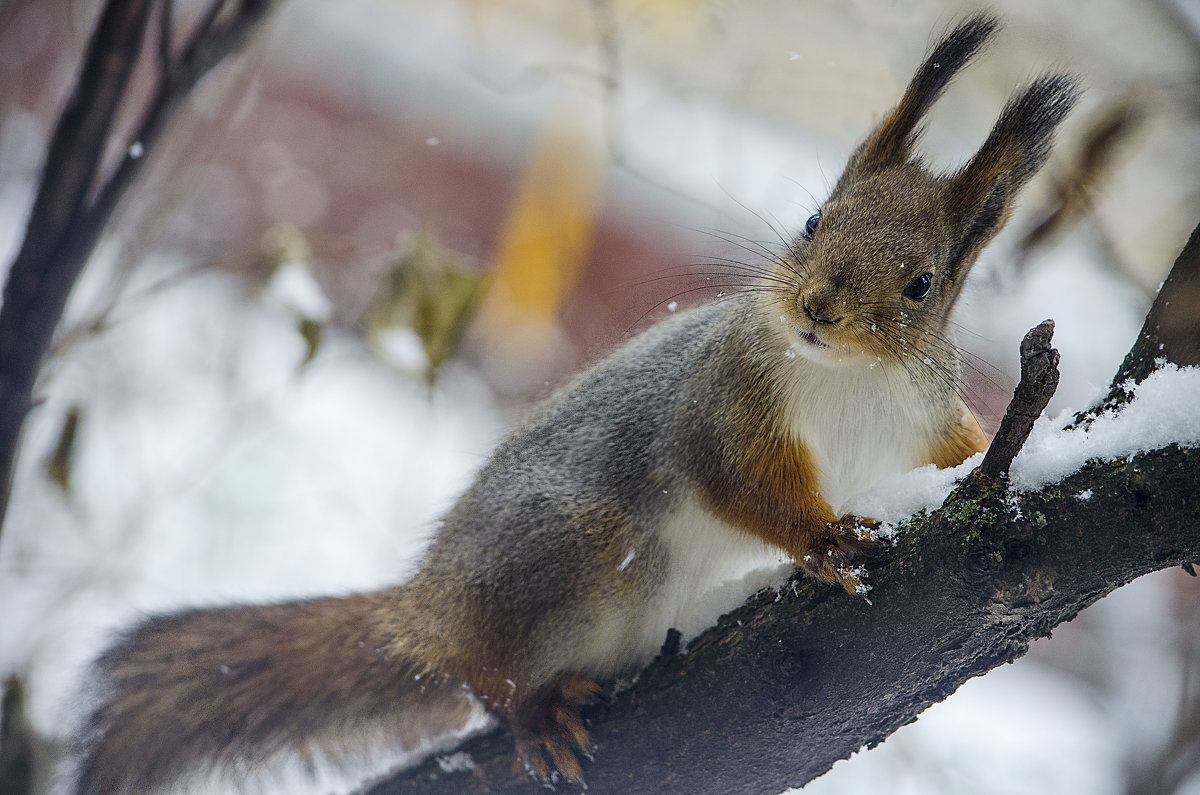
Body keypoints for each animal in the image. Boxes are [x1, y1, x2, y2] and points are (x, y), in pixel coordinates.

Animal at [68, 14, 1080, 795]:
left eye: (921, 284)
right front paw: (827, 540)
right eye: (812, 221)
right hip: (574, 549)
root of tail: (432, 602)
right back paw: (535, 710)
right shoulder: (727, 400)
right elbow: (740, 483)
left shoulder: (919, 421)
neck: (850, 377)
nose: (816, 308)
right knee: (484, 674)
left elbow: (958, 448)